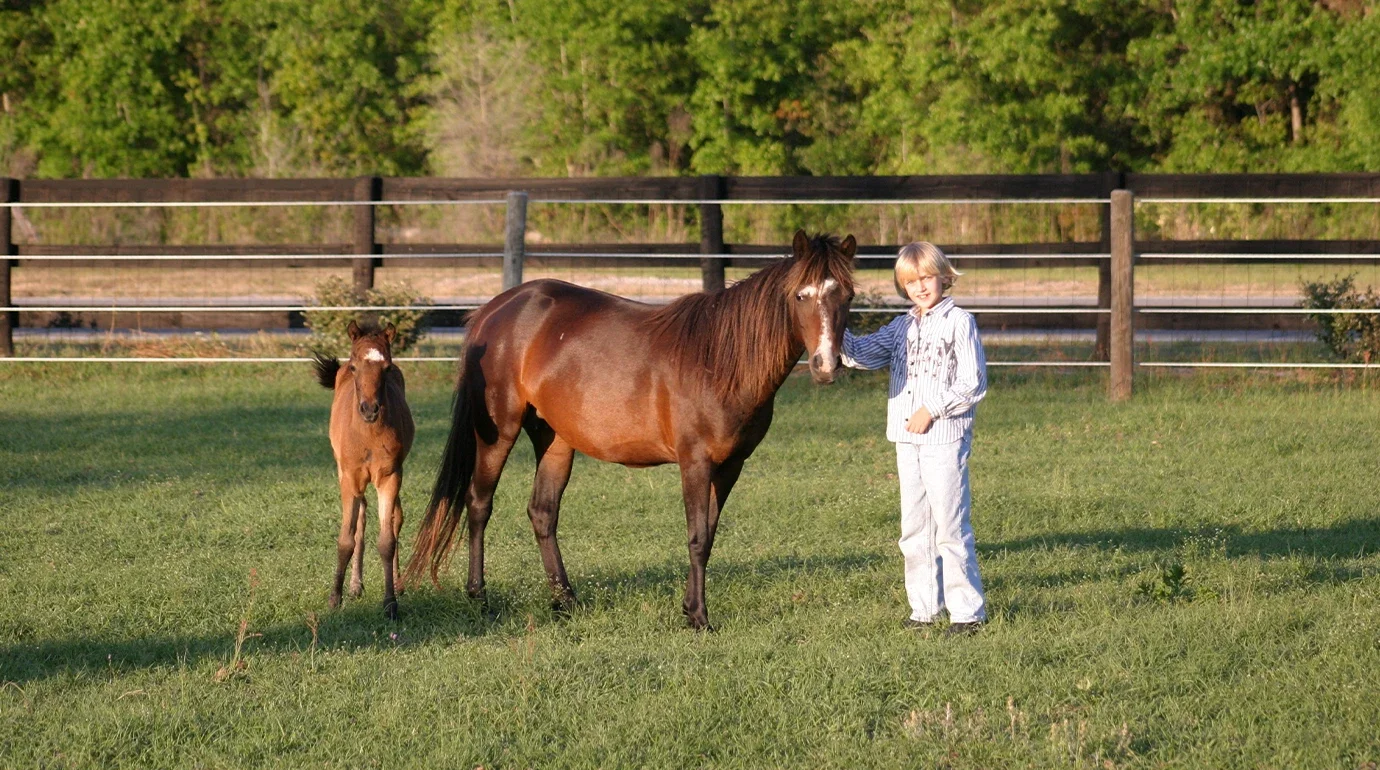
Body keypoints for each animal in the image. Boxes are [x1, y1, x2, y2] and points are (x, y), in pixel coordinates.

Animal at [312, 321, 416, 620]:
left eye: (387, 368)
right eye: (355, 367)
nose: (370, 410)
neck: (368, 433)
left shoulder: (390, 477)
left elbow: (387, 540)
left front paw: (390, 603)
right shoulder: (350, 479)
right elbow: (346, 539)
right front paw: (335, 599)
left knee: (396, 517)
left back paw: (396, 582)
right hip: (343, 472)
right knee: (361, 517)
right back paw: (355, 585)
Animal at [403, 230, 856, 629]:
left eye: (847, 297)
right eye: (801, 295)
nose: (826, 365)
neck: (719, 361)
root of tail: (494, 309)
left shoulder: (731, 466)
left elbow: (708, 536)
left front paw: (689, 608)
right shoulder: (695, 461)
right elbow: (696, 536)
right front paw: (700, 618)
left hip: (555, 438)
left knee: (542, 512)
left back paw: (565, 601)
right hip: (499, 428)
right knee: (479, 503)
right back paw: (480, 598)